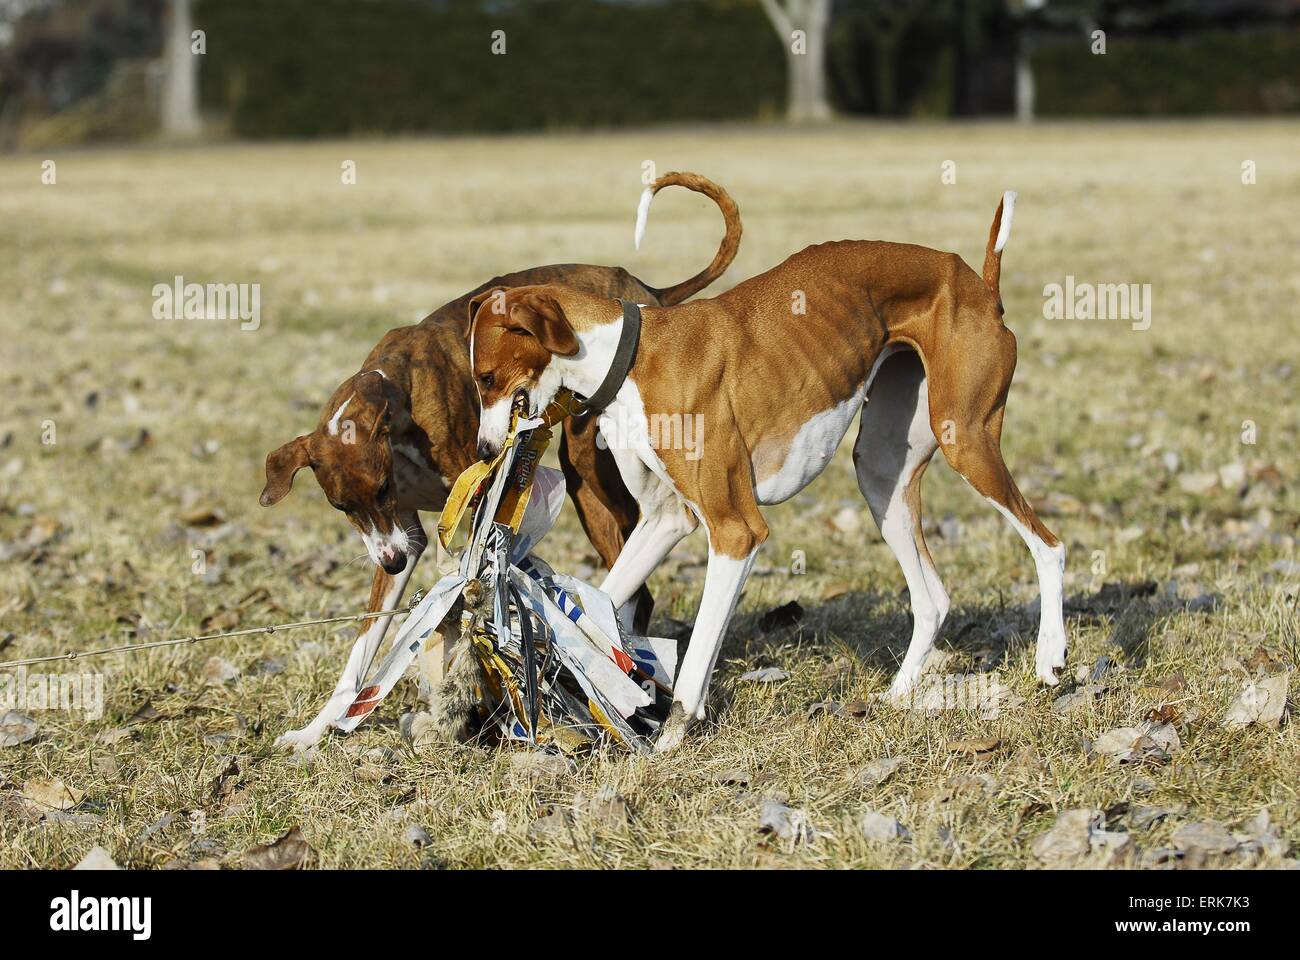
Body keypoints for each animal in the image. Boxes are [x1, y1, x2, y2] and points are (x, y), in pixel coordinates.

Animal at [473, 187, 1071, 749]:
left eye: (485, 377)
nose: (482, 450)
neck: (633, 357)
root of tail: (981, 284)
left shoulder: (736, 531)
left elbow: (697, 655)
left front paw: (670, 737)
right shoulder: (666, 521)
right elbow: (595, 601)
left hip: (967, 441)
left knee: (1049, 545)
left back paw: (1050, 658)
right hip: (882, 474)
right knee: (933, 599)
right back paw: (897, 695)